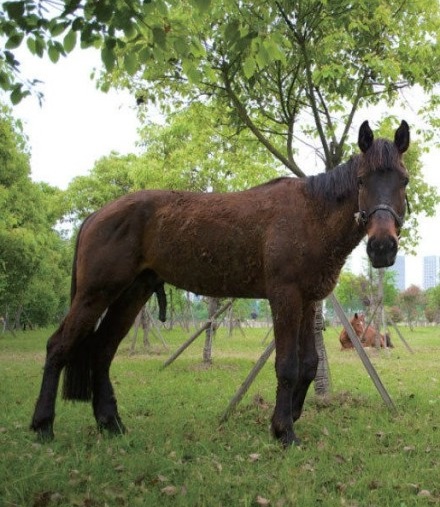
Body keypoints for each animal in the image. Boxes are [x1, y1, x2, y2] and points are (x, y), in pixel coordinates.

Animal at [30, 121, 410, 446]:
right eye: (361, 180)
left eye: (403, 180)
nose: (382, 247)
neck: (310, 214)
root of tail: (97, 215)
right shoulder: (284, 296)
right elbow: (287, 365)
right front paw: (283, 429)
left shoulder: (307, 300)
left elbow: (308, 364)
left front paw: (288, 416)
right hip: (95, 294)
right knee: (59, 346)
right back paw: (42, 425)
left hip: (131, 295)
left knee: (102, 351)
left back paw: (111, 424)